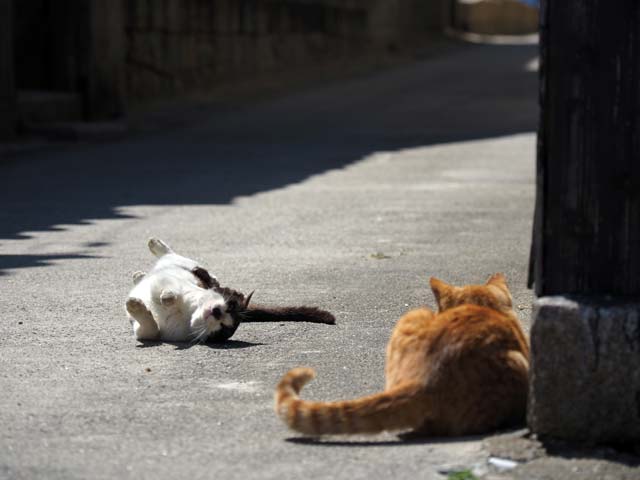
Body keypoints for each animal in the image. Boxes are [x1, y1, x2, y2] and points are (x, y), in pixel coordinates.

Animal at [126, 238, 336, 344]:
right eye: (228, 307)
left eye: (222, 327)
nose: (217, 312)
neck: (186, 314)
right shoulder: (174, 282)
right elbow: (172, 288)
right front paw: (168, 297)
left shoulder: (153, 332)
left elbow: (149, 328)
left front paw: (136, 305)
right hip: (191, 267)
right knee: (177, 258)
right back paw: (152, 251)